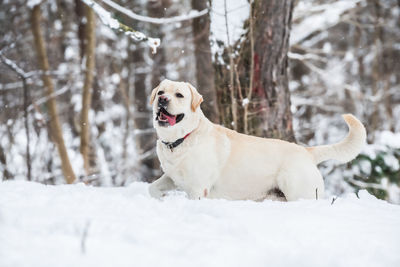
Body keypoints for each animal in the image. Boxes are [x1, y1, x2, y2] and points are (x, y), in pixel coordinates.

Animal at [149, 79, 366, 201]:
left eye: (179, 95)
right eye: (161, 92)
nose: (162, 100)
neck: (181, 139)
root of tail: (306, 151)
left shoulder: (197, 189)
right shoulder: (171, 177)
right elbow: (152, 188)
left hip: (301, 193)